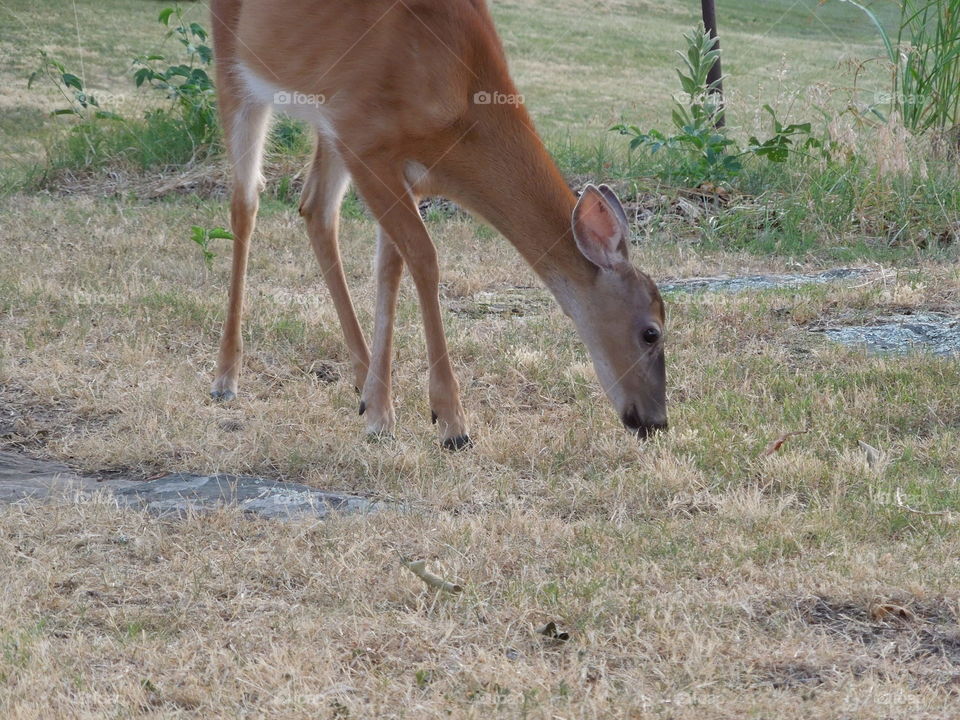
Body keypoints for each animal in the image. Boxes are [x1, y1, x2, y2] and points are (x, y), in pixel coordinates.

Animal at [208, 0, 667, 449]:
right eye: (652, 332)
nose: (657, 422)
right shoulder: (365, 140)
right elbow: (425, 258)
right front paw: (450, 422)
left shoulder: (391, 163)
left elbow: (389, 268)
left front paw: (378, 412)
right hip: (236, 69)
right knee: (245, 202)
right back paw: (225, 377)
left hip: (326, 122)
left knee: (315, 208)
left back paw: (360, 378)